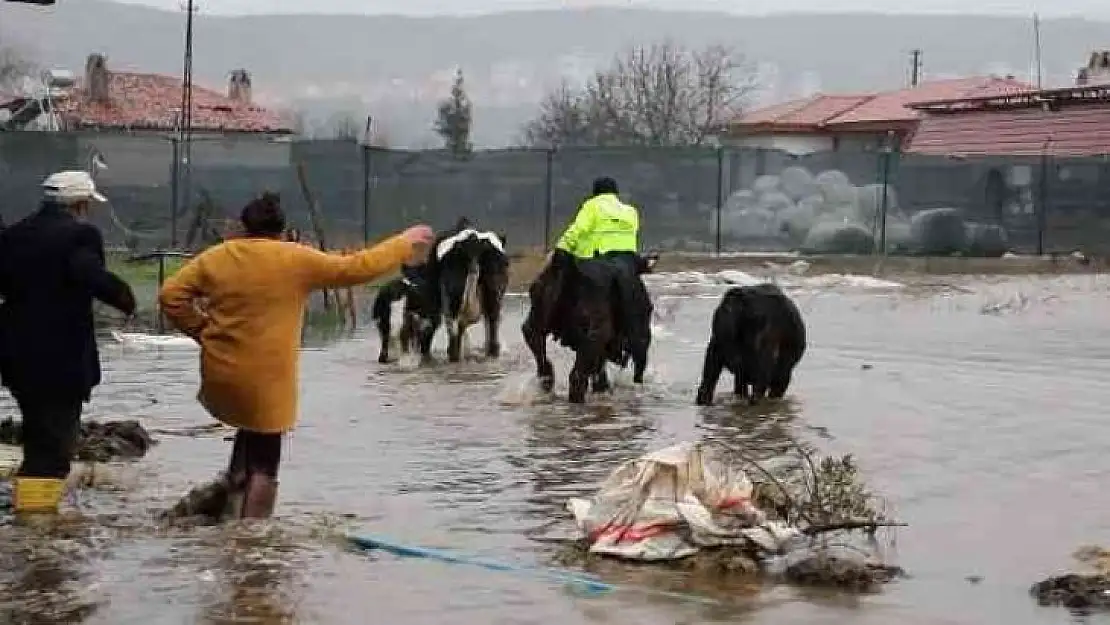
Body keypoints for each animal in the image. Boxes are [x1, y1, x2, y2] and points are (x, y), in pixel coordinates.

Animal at [521, 250, 657, 406]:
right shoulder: (640, 340)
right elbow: (637, 374)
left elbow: (599, 371)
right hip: (594, 337)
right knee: (577, 377)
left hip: (534, 326)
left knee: (543, 363)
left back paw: (547, 383)